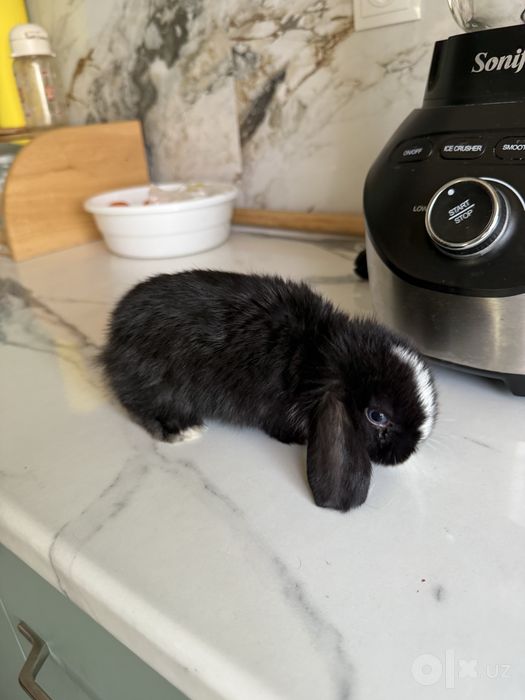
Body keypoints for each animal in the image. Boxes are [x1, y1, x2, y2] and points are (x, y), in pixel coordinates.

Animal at [100, 270, 437, 511]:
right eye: (377, 416)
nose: (407, 454)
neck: (318, 357)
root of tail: (113, 338)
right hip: (155, 383)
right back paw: (180, 429)